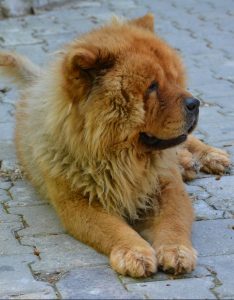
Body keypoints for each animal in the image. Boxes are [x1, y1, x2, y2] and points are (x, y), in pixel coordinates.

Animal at [0, 14, 230, 276]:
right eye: (152, 86)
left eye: (175, 79)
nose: (195, 103)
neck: (122, 159)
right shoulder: (78, 202)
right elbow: (115, 229)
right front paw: (135, 254)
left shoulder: (168, 187)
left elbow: (174, 220)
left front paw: (177, 251)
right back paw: (188, 164)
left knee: (188, 143)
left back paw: (211, 157)